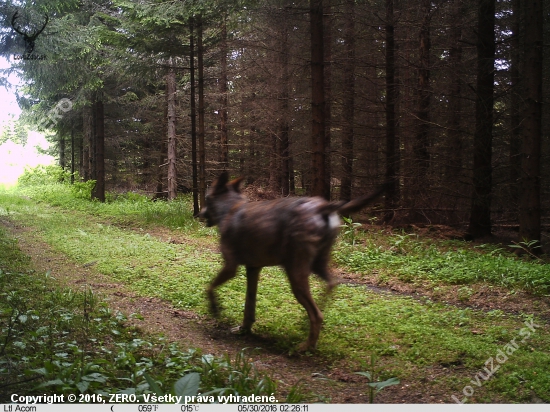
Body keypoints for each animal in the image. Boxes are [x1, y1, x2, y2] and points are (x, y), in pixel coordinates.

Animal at [199, 171, 388, 350]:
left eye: (207, 198)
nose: (198, 214)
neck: (230, 208)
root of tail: (322, 206)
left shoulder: (231, 267)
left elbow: (209, 287)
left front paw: (215, 309)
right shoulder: (253, 269)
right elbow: (249, 305)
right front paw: (244, 328)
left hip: (295, 274)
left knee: (317, 314)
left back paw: (306, 346)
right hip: (317, 265)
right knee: (331, 285)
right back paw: (306, 325)